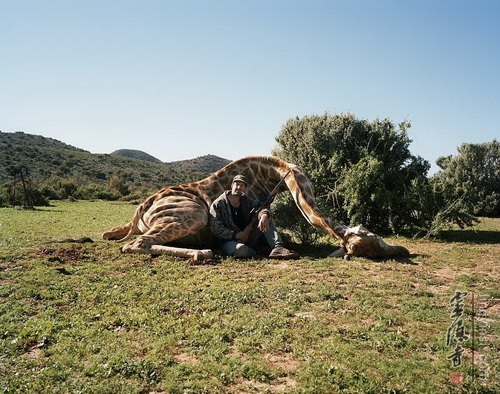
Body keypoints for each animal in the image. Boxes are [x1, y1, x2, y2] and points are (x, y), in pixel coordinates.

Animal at [102, 155, 410, 262]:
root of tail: (142, 209)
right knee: (136, 244)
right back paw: (202, 253)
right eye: (371, 238)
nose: (404, 250)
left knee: (125, 239)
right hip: (195, 213)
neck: (271, 177)